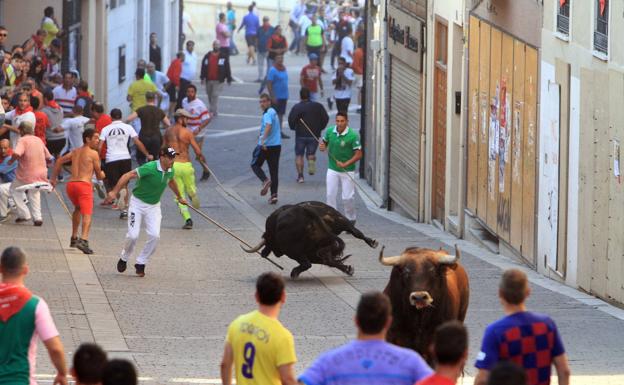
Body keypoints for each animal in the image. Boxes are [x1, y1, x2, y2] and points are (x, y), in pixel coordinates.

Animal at [241, 200, 378, 278]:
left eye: (268, 239)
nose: (264, 253)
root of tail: (306, 211)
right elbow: (330, 261)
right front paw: (348, 269)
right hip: (340, 222)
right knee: (355, 233)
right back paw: (371, 244)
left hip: (292, 250)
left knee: (308, 263)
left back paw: (294, 273)